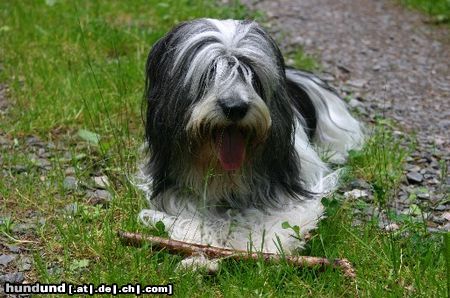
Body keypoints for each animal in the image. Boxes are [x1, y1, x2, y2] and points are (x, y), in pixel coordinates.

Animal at [139, 18, 364, 266]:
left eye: (251, 73)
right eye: (209, 73)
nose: (235, 107)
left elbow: (281, 218)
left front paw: (261, 246)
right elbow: (192, 220)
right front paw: (202, 252)